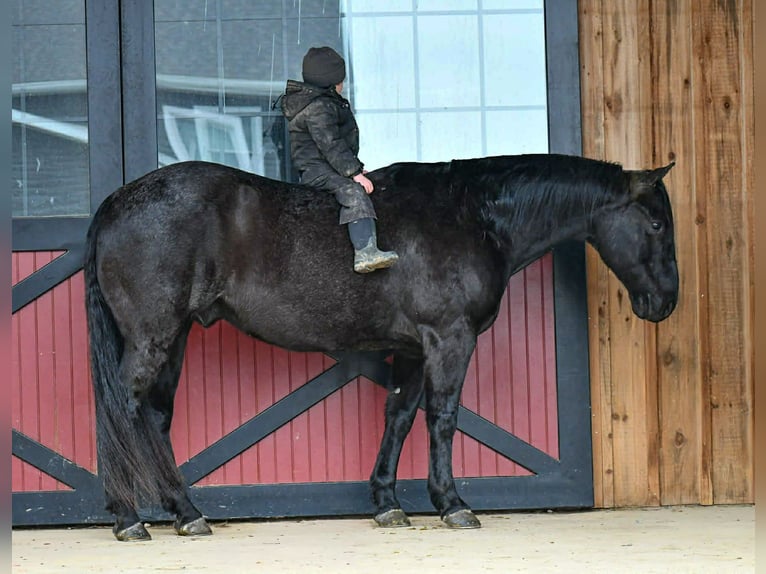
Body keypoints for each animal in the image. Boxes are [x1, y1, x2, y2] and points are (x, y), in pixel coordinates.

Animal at [84, 154, 678, 541]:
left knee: (154, 418)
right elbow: (442, 418)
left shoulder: (413, 348)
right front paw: (452, 504)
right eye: (655, 222)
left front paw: (388, 503)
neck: (470, 214)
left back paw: (185, 511)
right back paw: (129, 517)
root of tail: (116, 201)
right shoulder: (448, 338)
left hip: (175, 336)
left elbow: (400, 415)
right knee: (124, 409)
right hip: (154, 336)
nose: (666, 302)